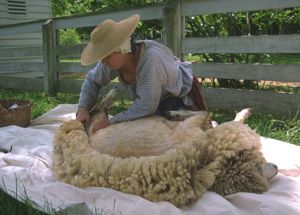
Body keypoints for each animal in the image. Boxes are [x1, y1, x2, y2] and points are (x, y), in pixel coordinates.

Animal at [52, 89, 278, 207]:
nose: (275, 168)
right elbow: (206, 113)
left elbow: (208, 116)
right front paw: (174, 112)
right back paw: (111, 94)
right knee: (94, 110)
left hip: (97, 123)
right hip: (98, 122)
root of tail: (89, 137)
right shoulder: (194, 124)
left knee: (95, 113)